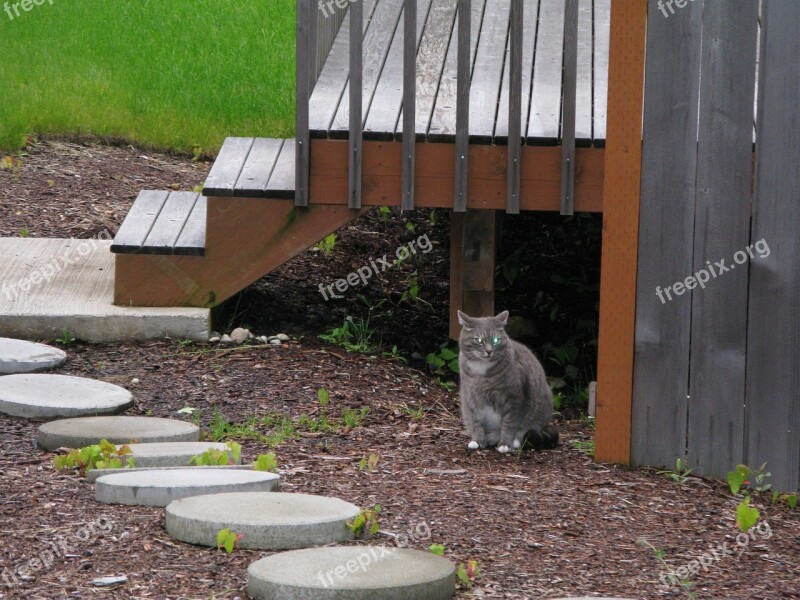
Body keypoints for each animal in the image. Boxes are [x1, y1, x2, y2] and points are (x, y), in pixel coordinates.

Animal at [460, 312, 560, 452]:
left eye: (496, 340)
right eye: (478, 340)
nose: (489, 351)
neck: (482, 374)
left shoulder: (513, 399)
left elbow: (509, 424)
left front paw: (505, 444)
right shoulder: (471, 399)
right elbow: (476, 423)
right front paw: (478, 441)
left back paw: (515, 441)